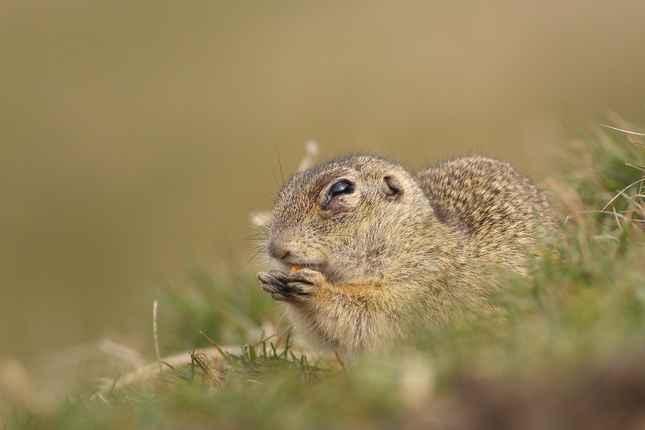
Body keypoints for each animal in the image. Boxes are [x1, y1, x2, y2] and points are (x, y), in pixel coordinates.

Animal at [255, 154, 552, 356]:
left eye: (341, 189)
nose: (275, 249)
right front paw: (272, 282)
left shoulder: (422, 282)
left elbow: (370, 319)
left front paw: (317, 289)